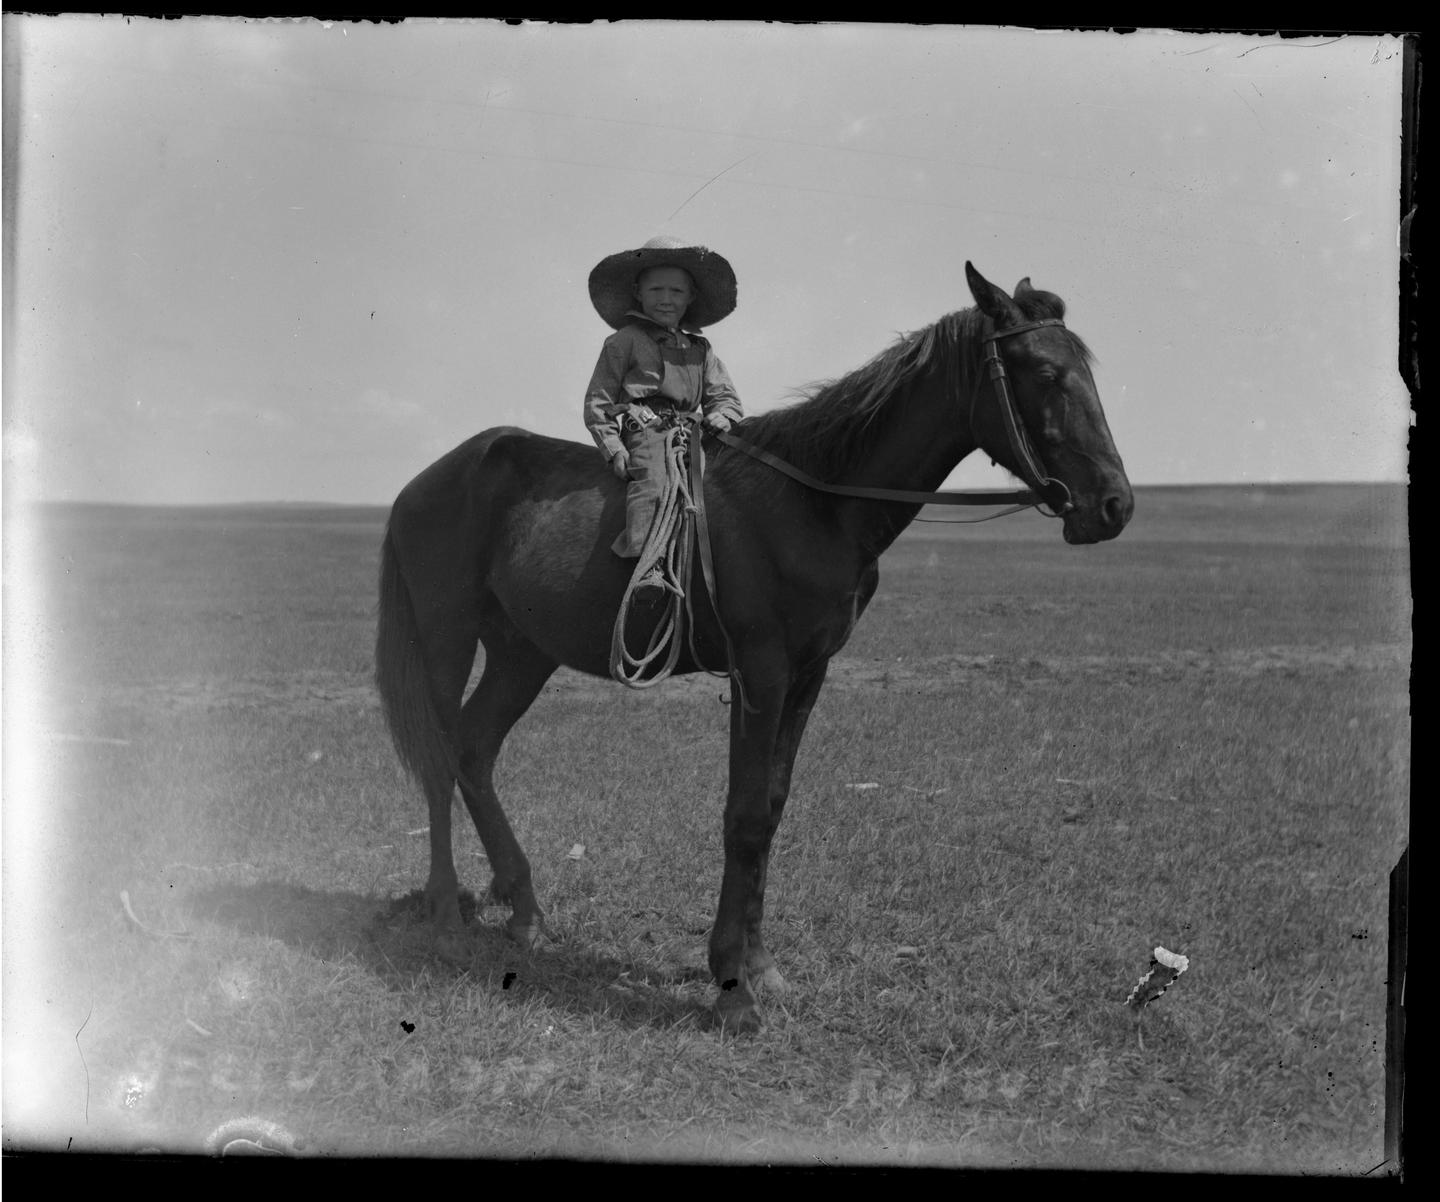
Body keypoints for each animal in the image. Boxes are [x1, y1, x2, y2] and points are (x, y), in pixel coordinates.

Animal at [374, 262, 1133, 1033]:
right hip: (447, 638)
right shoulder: (760, 670)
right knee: (440, 757)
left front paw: (757, 966)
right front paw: (733, 988)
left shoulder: (807, 673)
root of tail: (421, 485)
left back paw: (524, 909)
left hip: (522, 651)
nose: (1114, 506)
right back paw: (446, 914)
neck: (817, 504)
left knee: (474, 750)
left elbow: (770, 807)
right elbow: (741, 815)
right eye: (1045, 371)